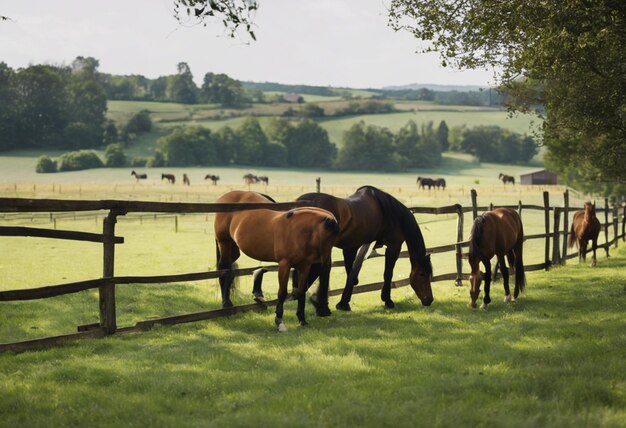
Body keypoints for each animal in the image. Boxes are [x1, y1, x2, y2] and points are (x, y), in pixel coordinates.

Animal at [216, 190, 342, 332]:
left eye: (334, 239)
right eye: (327, 238)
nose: (324, 312)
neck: (298, 231)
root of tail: (227, 196)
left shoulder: (304, 266)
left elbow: (301, 292)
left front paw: (302, 320)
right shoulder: (284, 265)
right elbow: (282, 293)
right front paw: (279, 322)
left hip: (233, 249)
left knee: (230, 270)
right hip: (224, 243)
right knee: (224, 269)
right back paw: (226, 304)